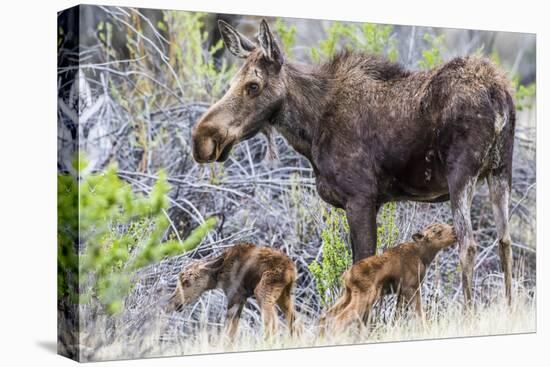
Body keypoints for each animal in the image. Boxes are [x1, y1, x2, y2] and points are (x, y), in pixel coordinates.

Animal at [168, 244, 298, 340]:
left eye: (186, 282)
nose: (173, 302)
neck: (218, 275)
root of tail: (291, 268)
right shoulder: (241, 298)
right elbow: (232, 332)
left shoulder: (235, 295)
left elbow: (229, 332)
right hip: (284, 294)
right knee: (295, 322)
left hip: (264, 290)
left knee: (273, 323)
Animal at [193, 19, 516, 304]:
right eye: (232, 82)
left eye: (253, 85)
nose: (202, 138)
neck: (310, 128)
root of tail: (498, 94)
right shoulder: (370, 201)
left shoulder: (360, 197)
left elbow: (362, 266)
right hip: (500, 170)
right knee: (504, 241)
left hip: (461, 174)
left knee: (468, 244)